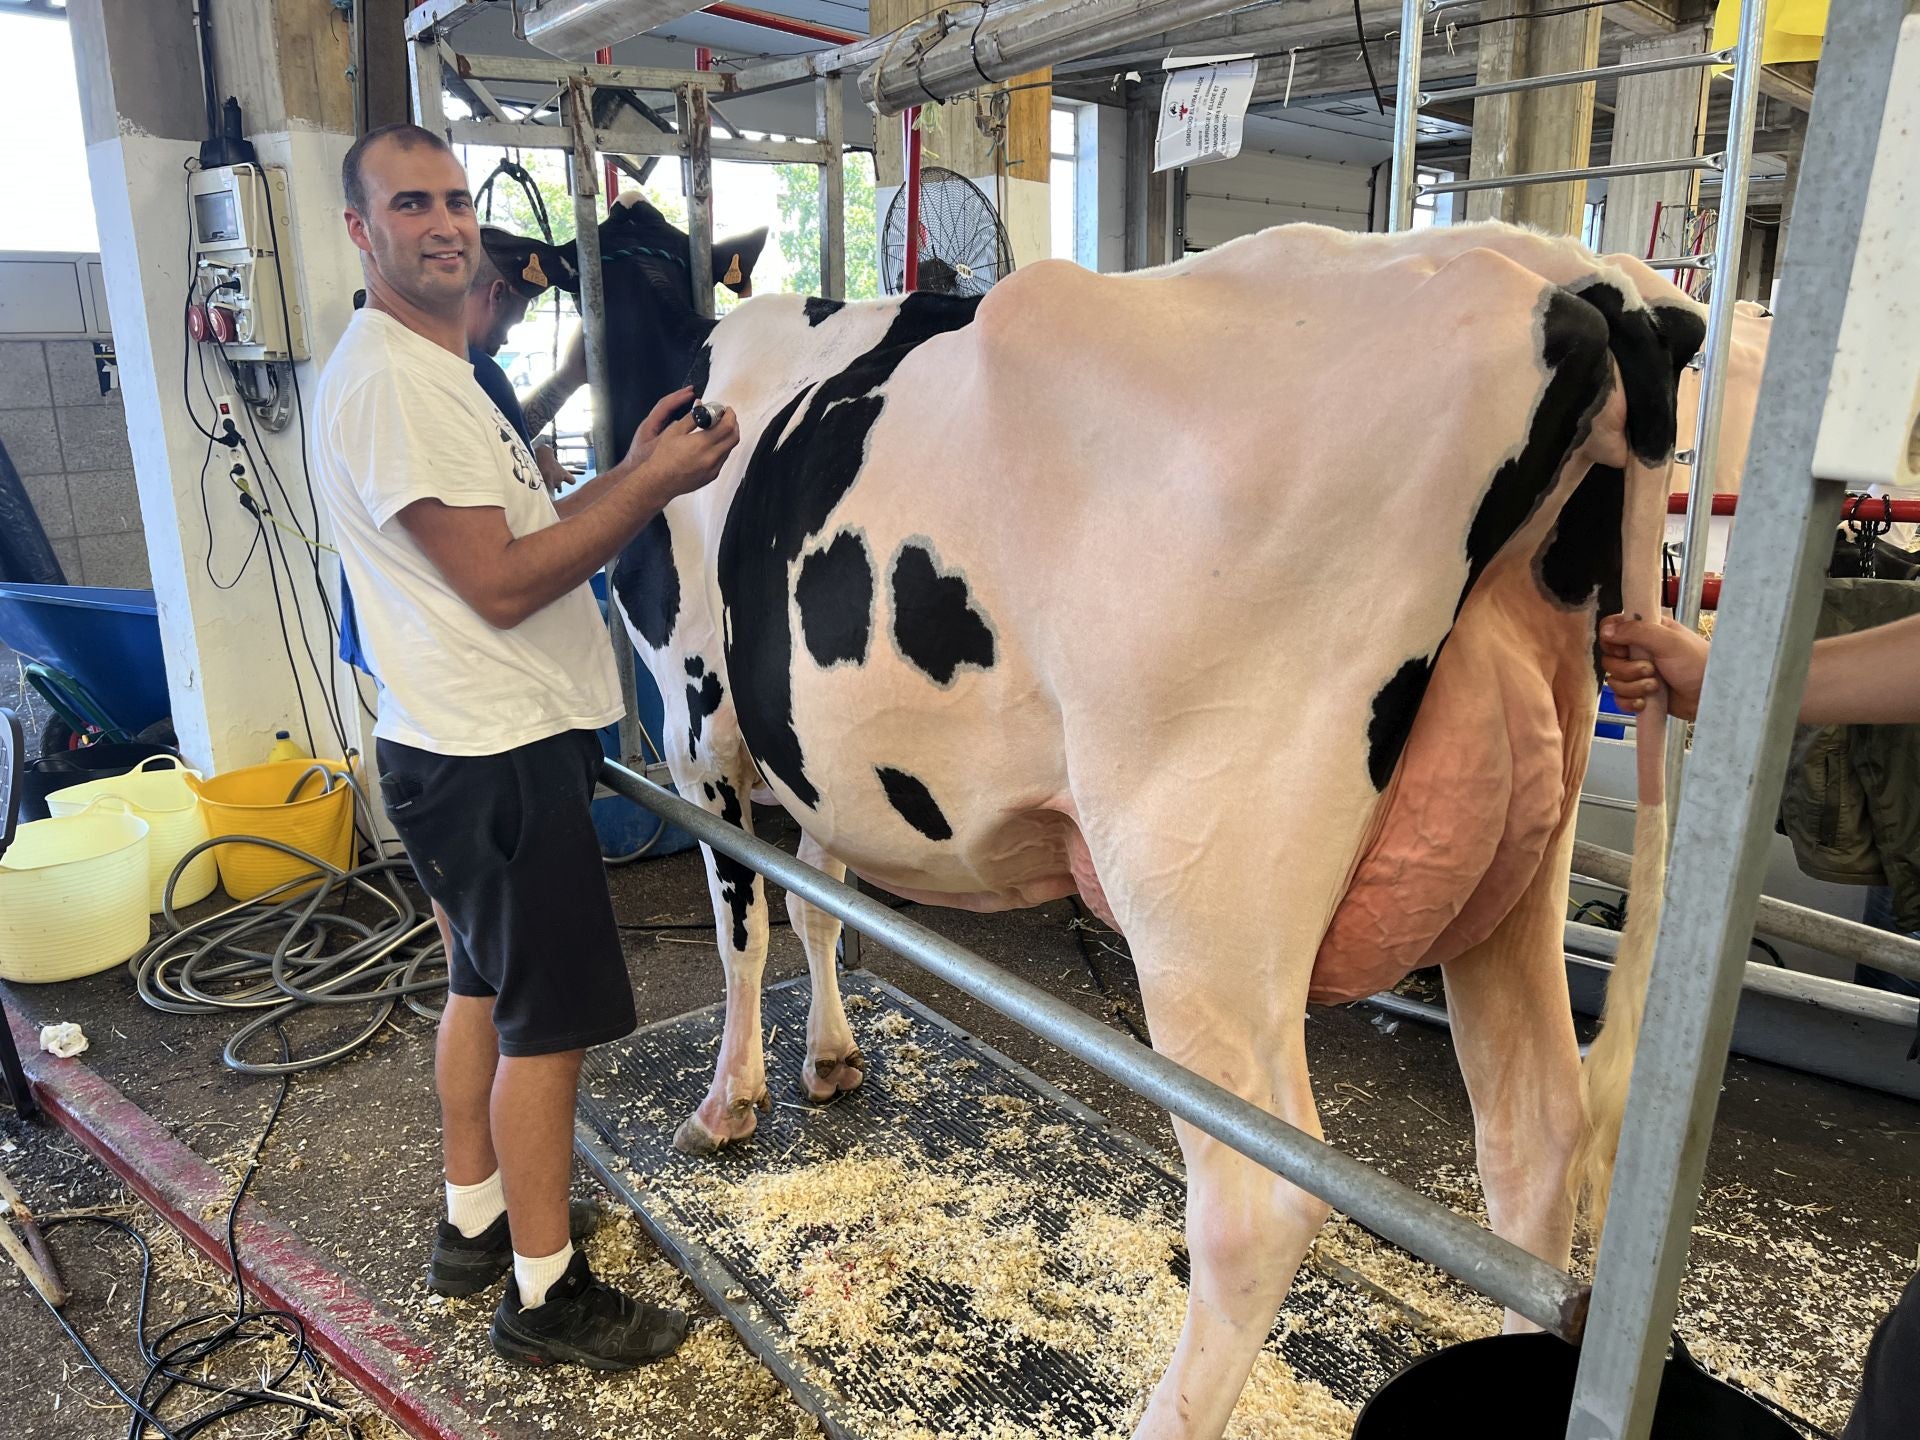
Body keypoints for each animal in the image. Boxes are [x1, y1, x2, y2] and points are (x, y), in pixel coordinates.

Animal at [580, 199, 1715, 1439]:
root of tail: (1577, 279)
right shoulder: (824, 763)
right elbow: (820, 908)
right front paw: (830, 1060)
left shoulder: (697, 715)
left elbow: (742, 925)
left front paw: (726, 1102)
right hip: (1514, 869)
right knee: (1535, 1135)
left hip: (1200, 889)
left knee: (1260, 1202)